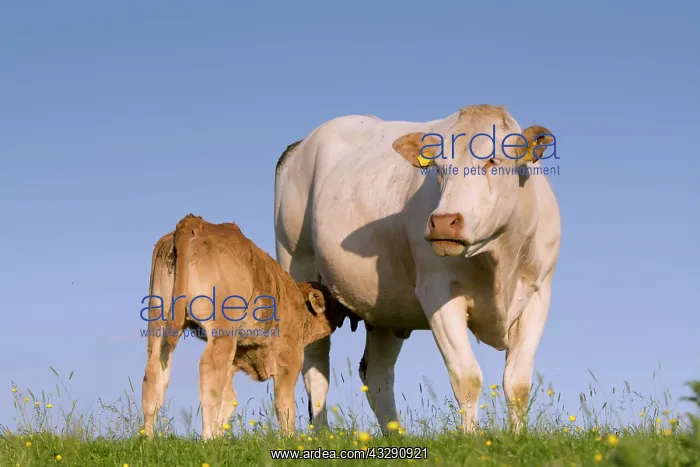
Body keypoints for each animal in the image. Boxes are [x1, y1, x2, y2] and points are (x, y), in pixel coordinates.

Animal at [141, 214, 357, 439]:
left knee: (154, 374)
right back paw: (207, 438)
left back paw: (148, 438)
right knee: (209, 373)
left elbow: (229, 400)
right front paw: (289, 438)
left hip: (159, 322)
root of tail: (194, 222)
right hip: (221, 331)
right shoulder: (289, 359)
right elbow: (285, 404)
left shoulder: (236, 360)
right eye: (333, 298)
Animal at [273, 104, 560, 435]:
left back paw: (394, 437)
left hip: (385, 307)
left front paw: (517, 437)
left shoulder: (539, 292)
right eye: (438, 167)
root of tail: (299, 146)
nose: (443, 221)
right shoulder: (438, 291)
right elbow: (467, 377)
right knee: (314, 367)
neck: (498, 257)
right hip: (300, 269)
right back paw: (315, 436)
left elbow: (518, 383)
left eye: (493, 160)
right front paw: (473, 438)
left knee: (376, 373)